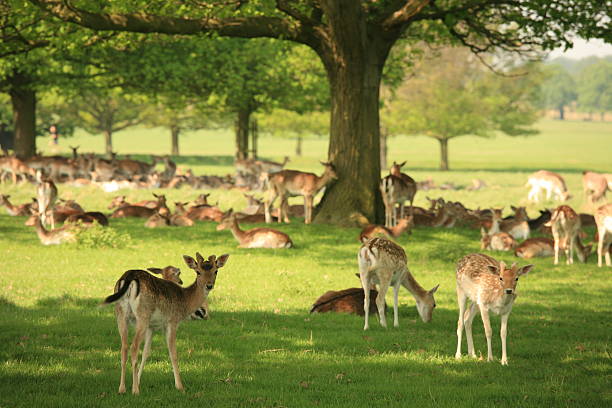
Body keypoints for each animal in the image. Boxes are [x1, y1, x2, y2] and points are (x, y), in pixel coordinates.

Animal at [103, 253, 230, 394]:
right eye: (198, 272)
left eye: (216, 271)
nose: (209, 285)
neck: (185, 301)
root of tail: (128, 278)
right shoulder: (172, 321)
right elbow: (173, 353)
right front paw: (180, 386)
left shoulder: (152, 327)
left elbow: (146, 352)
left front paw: (139, 379)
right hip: (142, 316)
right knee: (134, 347)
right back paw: (135, 391)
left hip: (120, 315)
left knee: (124, 347)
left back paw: (122, 388)